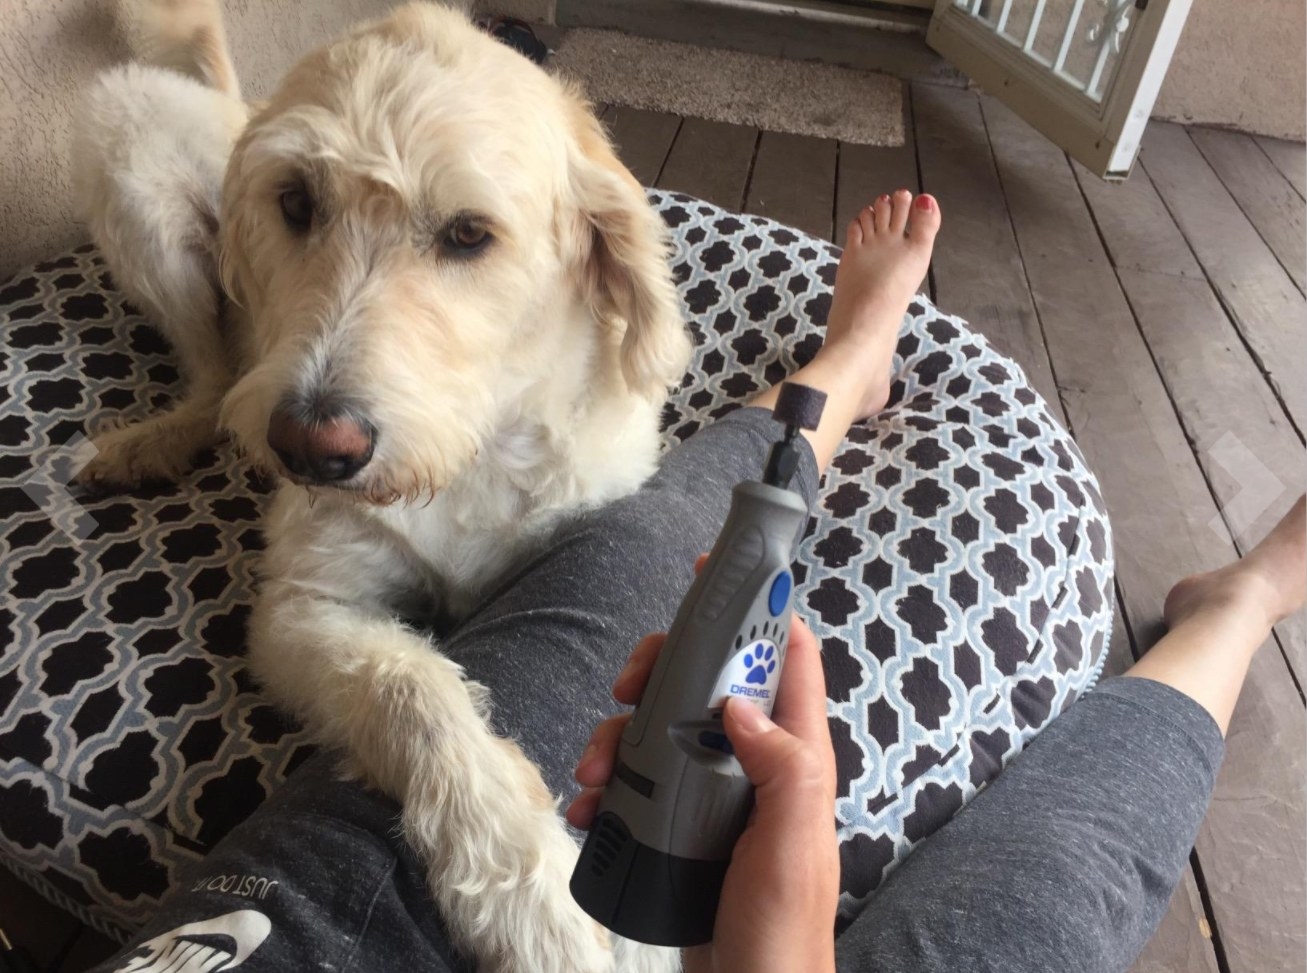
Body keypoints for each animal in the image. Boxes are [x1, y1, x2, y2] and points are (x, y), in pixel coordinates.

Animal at [70, 3, 690, 967]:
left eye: (469, 233)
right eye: (296, 202)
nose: (309, 450)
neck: (465, 454)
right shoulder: (301, 607)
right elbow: (412, 687)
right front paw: (533, 894)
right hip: (129, 144)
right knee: (212, 379)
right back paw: (155, 439)